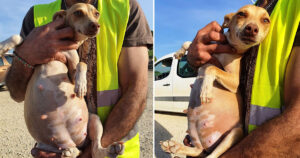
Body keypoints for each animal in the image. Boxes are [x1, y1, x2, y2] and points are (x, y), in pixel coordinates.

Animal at [0, 2, 123, 158]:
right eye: (78, 13)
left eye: (97, 14)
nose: (96, 25)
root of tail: (72, 140)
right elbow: (17, 37)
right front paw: (2, 46)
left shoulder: (72, 66)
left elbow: (82, 64)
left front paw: (81, 85)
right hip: (43, 144)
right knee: (77, 150)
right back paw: (70, 151)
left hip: (94, 120)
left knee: (95, 149)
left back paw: (110, 149)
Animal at [161, 4, 270, 158]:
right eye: (241, 14)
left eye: (266, 20)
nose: (252, 28)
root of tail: (208, 144)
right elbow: (189, 42)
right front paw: (179, 52)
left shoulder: (235, 81)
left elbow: (211, 67)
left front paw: (205, 89)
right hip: (193, 132)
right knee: (197, 150)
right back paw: (174, 147)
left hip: (235, 133)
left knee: (211, 155)